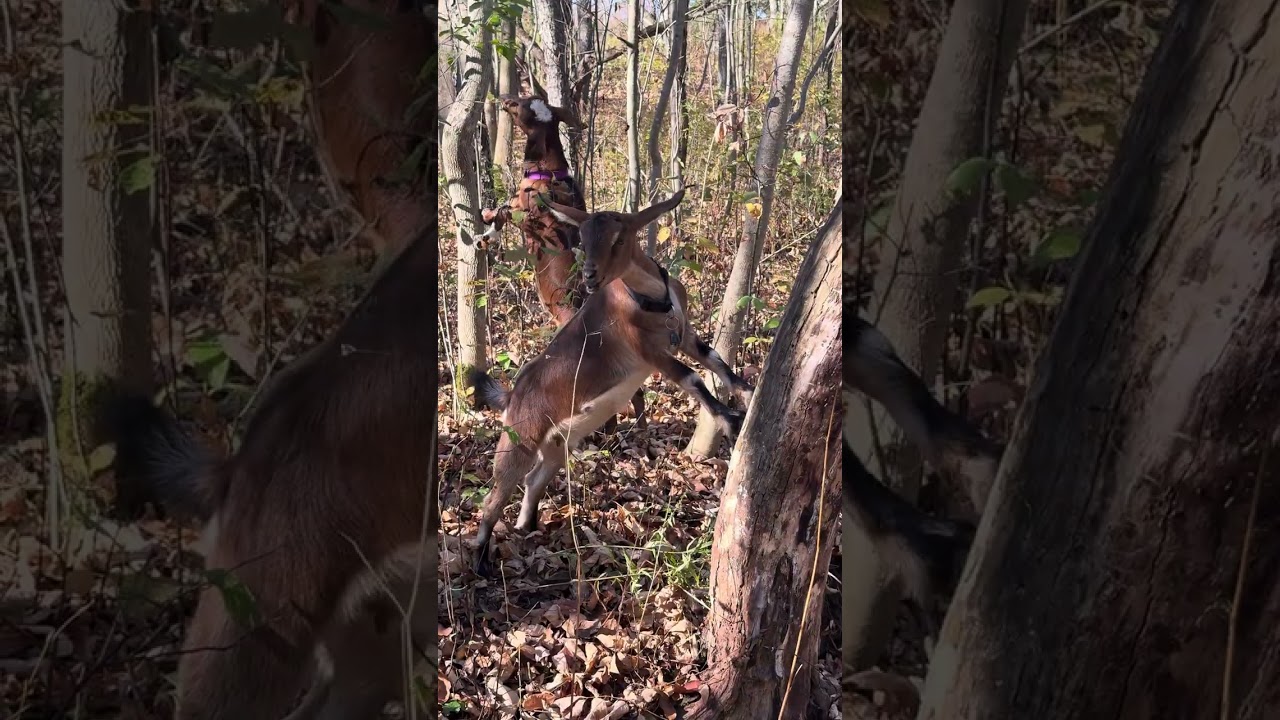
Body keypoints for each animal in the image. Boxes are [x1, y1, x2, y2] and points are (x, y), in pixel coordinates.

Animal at [465, 187, 755, 575]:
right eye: (583, 238)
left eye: (619, 237)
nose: (590, 276)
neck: (653, 300)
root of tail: (512, 397)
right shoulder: (648, 352)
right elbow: (691, 378)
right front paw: (730, 420)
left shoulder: (685, 335)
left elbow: (715, 361)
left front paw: (747, 392)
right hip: (519, 439)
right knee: (495, 496)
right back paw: (481, 559)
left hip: (556, 444)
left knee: (534, 478)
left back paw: (527, 526)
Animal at [480, 93, 647, 432]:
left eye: (521, 106)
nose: (504, 98)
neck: (547, 172)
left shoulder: (526, 216)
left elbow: (504, 211)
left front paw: (487, 221)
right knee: (634, 395)